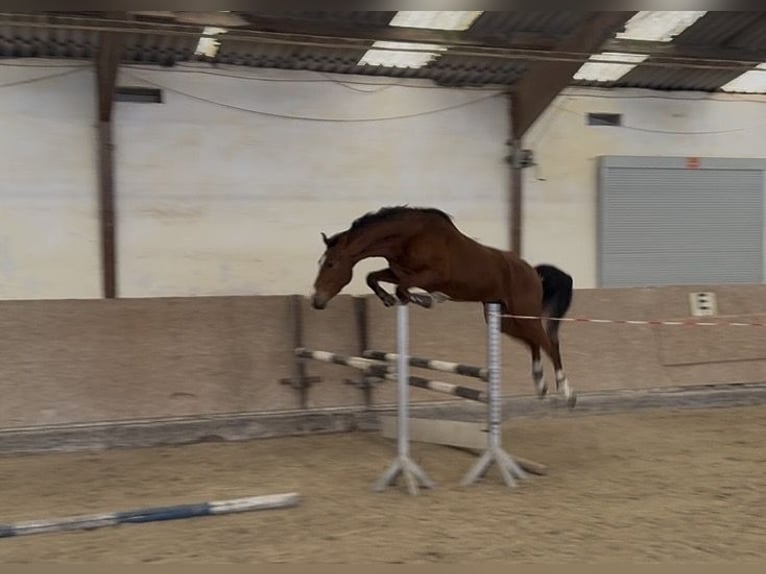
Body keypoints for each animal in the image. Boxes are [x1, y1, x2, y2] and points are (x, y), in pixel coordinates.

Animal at [309, 205, 576, 406]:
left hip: (522, 313)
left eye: (331, 264)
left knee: (549, 343)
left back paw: (565, 392)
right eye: (321, 262)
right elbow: (374, 278)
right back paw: (540, 384)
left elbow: (403, 289)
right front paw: (389, 299)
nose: (316, 301)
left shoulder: (431, 276)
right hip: (505, 321)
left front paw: (429, 299)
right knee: (534, 342)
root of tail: (533, 272)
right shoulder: (397, 271)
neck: (409, 237)